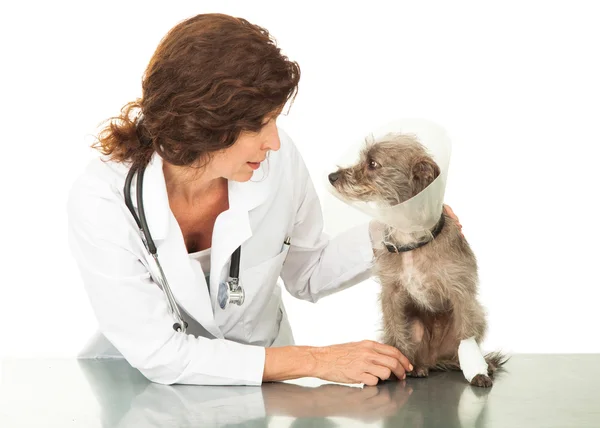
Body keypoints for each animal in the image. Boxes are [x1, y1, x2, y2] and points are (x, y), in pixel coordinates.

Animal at [328, 133, 506, 388]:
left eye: (372, 163)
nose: (332, 177)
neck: (410, 237)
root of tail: (434, 359)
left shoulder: (461, 291)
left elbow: (466, 334)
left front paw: (477, 372)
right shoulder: (391, 294)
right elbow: (395, 332)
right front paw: (395, 368)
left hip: (477, 316)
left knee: (461, 343)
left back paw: (479, 365)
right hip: (415, 326)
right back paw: (416, 367)